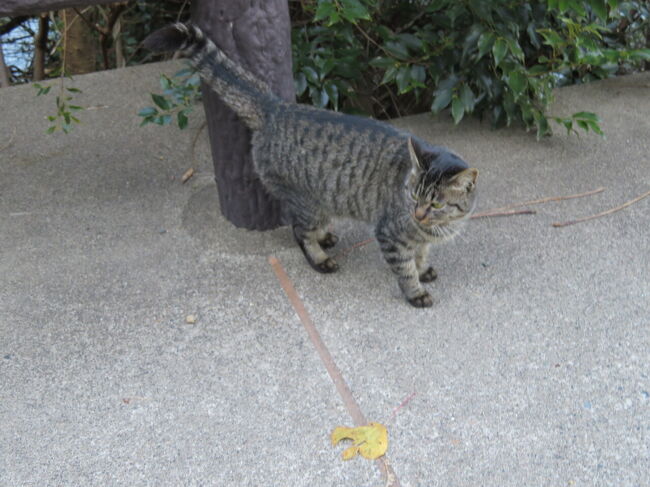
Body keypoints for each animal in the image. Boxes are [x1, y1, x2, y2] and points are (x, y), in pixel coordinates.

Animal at [144, 23, 476, 308]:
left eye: (435, 203)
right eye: (414, 195)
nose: (418, 214)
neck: (438, 226)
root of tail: (276, 108)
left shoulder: (419, 239)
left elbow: (420, 255)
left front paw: (423, 269)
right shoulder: (390, 235)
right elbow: (405, 269)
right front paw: (415, 291)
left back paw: (326, 237)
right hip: (308, 203)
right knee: (299, 231)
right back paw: (320, 258)